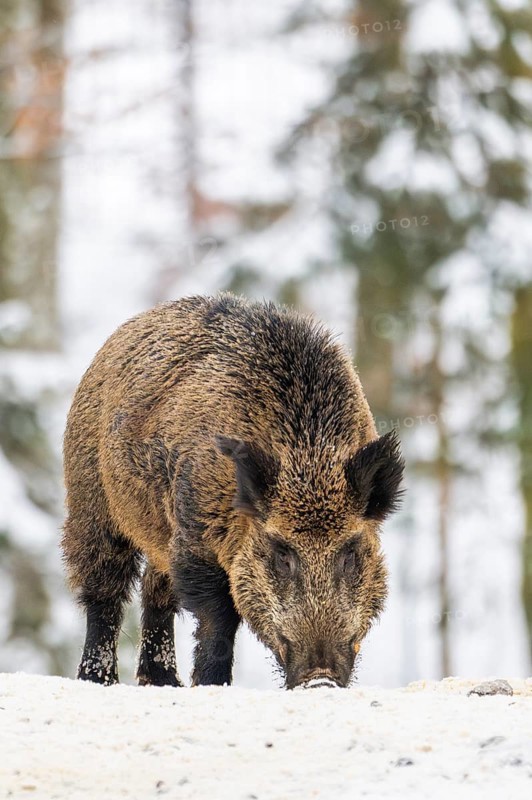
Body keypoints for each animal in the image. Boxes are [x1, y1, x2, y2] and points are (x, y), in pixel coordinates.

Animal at [62, 294, 404, 689]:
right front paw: (212, 684)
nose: (321, 679)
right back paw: (97, 679)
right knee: (104, 588)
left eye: (349, 554)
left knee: (155, 590)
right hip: (91, 499)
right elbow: (220, 616)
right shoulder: (196, 535)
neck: (308, 458)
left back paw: (163, 681)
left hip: (158, 533)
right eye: (282, 555)